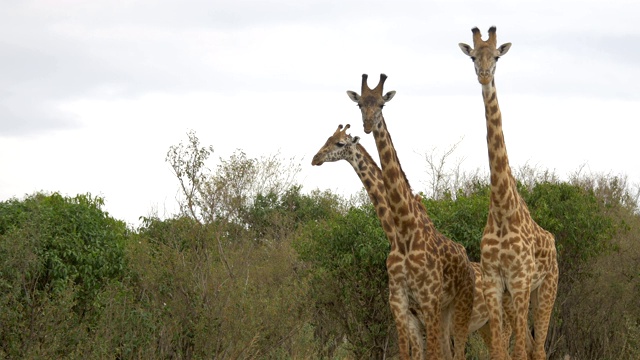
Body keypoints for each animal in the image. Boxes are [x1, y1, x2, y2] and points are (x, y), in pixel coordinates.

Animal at [344, 74, 476, 360]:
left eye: (382, 104)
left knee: (458, 350)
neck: (405, 232)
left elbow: (432, 353)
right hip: (444, 309)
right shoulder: (399, 299)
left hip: (461, 304)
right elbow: (408, 353)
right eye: (360, 104)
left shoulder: (428, 299)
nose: (368, 125)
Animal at [458, 26, 556, 360]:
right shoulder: (493, 283)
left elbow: (519, 351)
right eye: (473, 56)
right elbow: (501, 351)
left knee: (537, 349)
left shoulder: (520, 282)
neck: (502, 207)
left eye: (497, 56)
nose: (484, 75)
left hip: (547, 287)